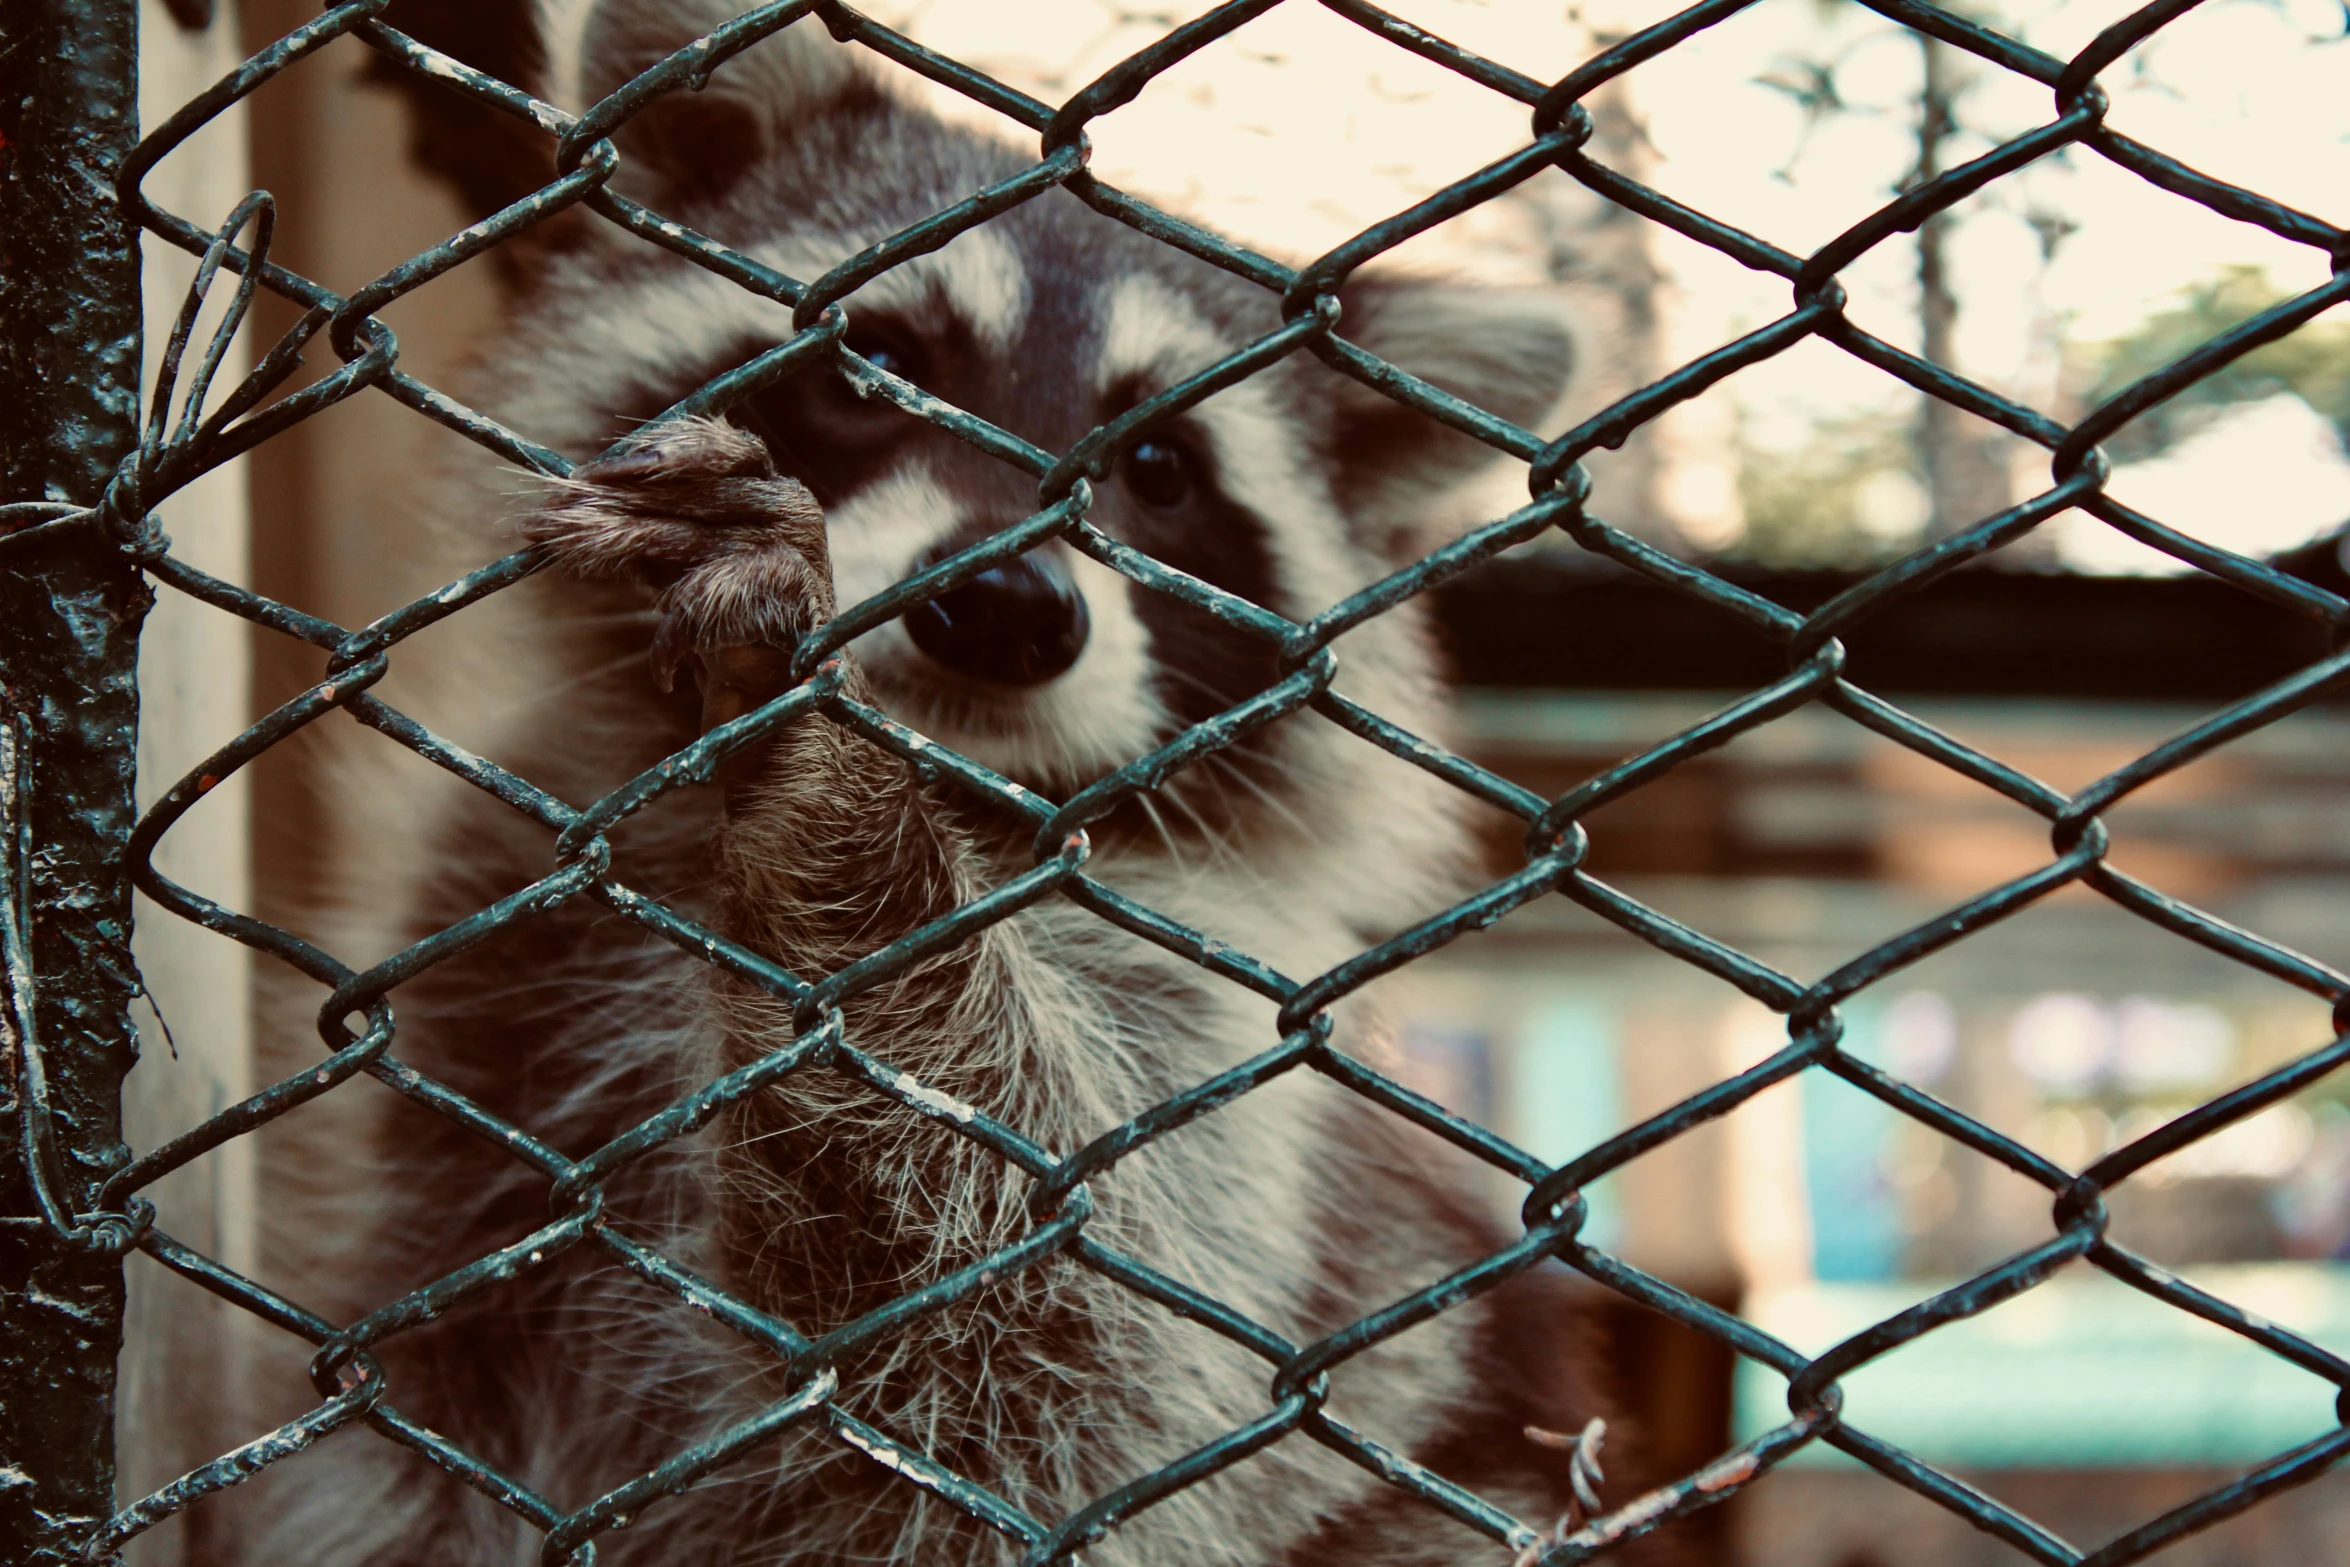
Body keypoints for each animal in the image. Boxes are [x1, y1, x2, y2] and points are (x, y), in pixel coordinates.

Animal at [243, 6, 1691, 1559]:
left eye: (1161, 469)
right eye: (867, 367)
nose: (1005, 606)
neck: (973, 795)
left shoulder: (1208, 1027)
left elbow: (1048, 1368)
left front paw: (835, 814)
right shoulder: (499, 939)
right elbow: (412, 1417)